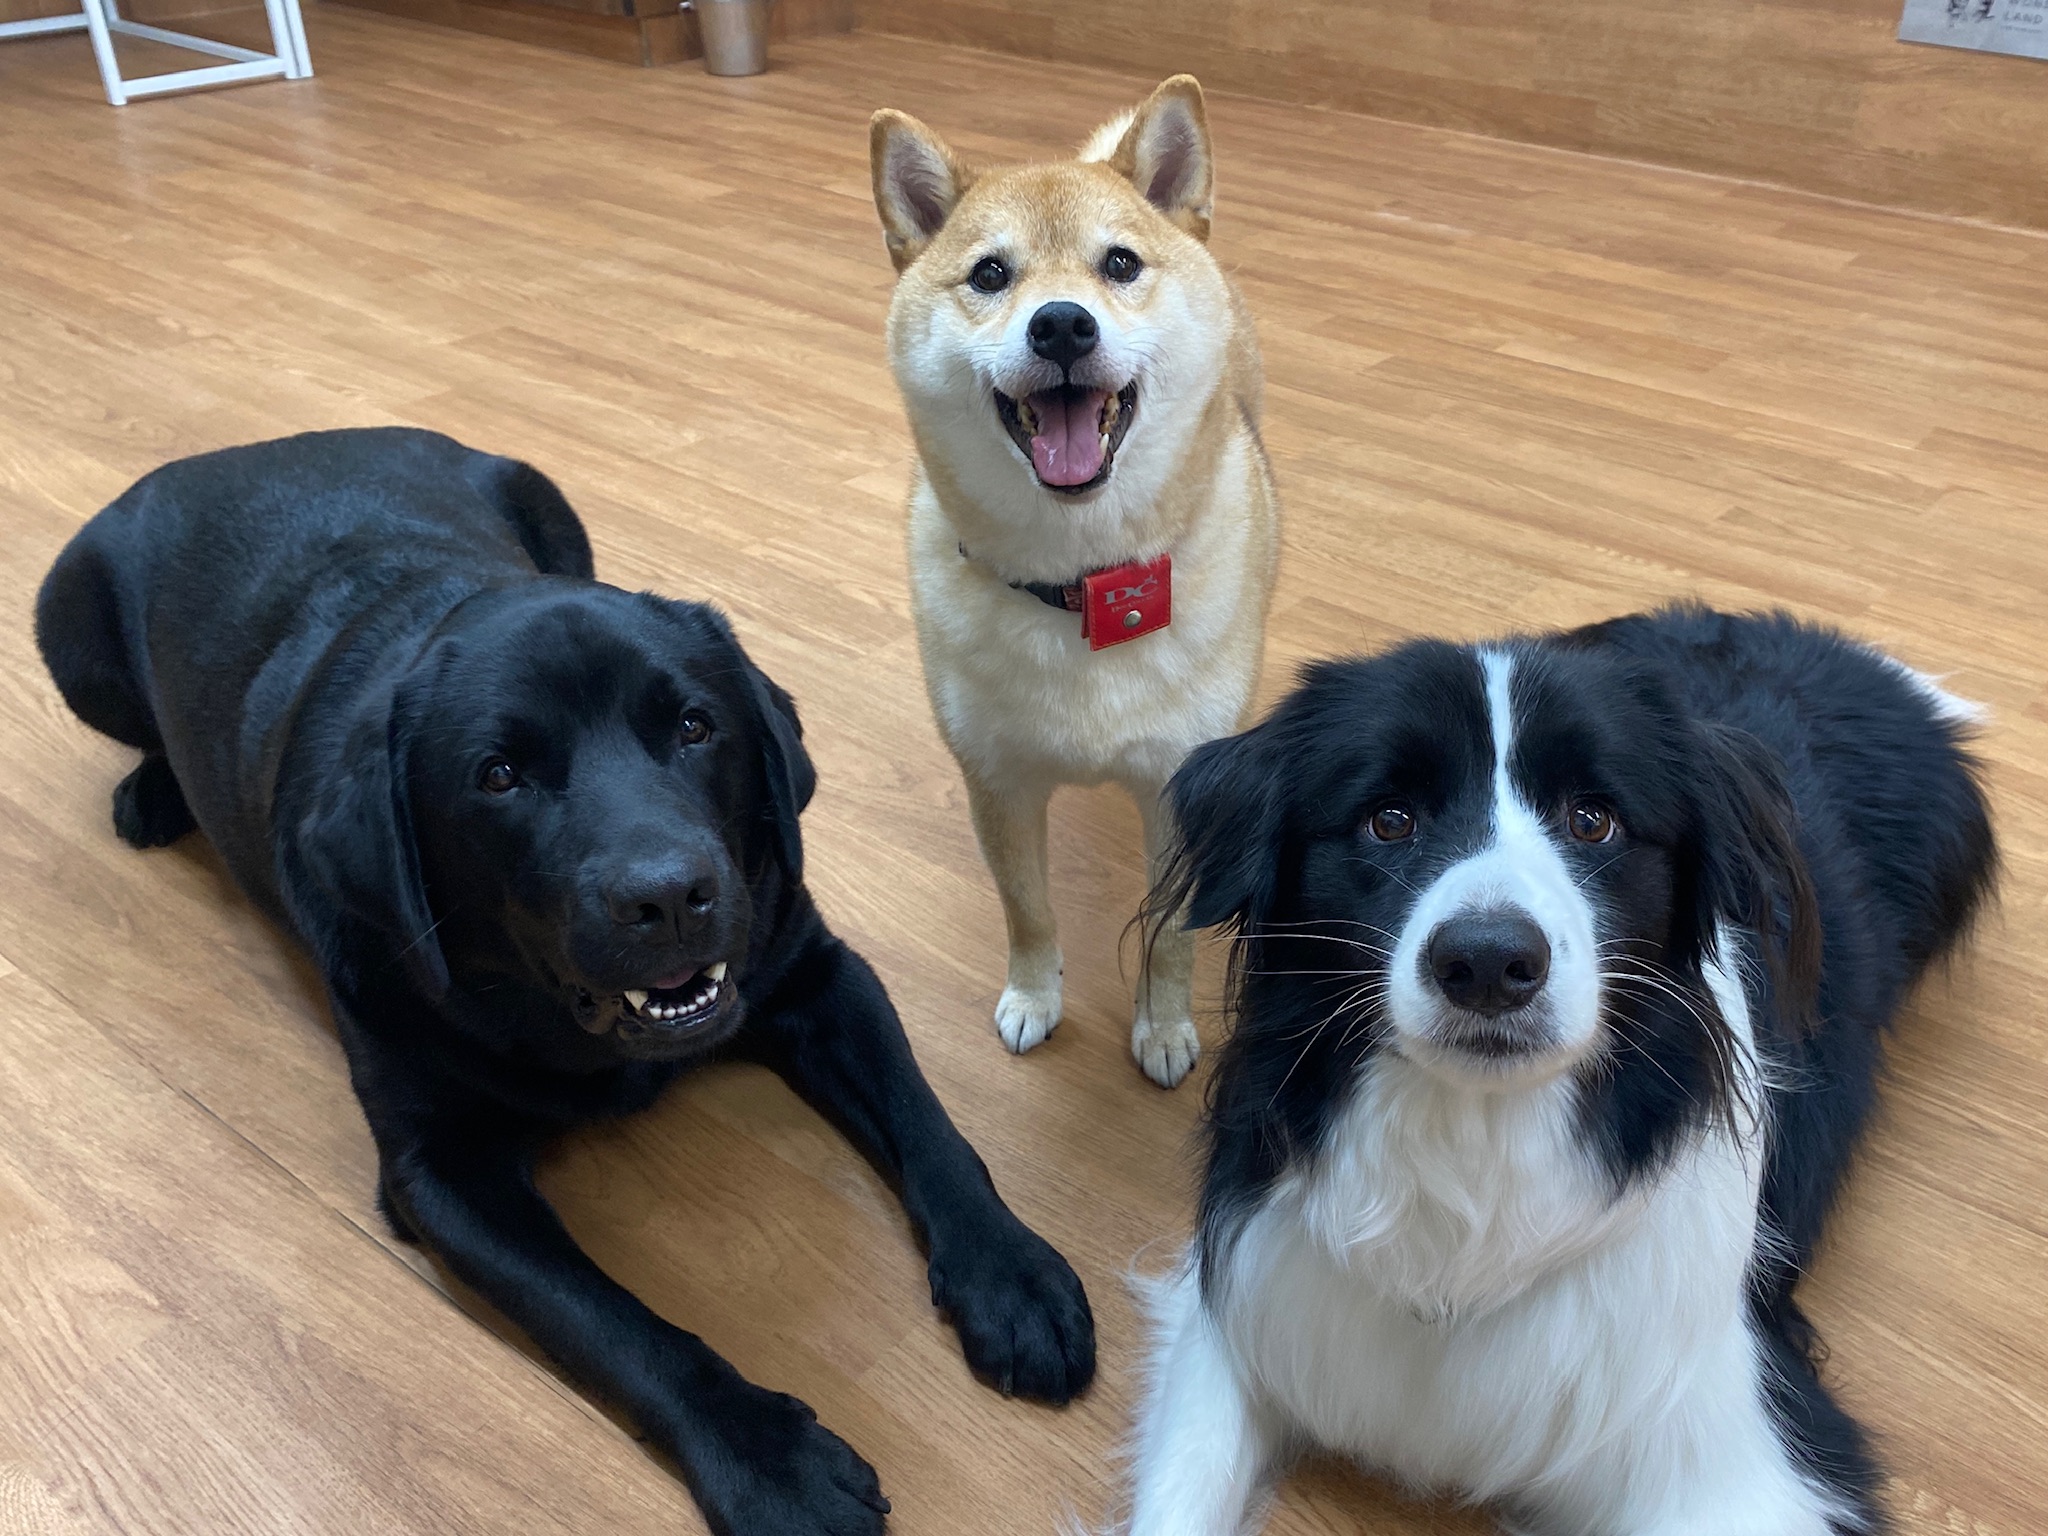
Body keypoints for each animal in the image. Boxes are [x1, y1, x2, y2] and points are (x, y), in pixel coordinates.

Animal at [35, 427, 1095, 1536]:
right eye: (498, 776)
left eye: (694, 727)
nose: (669, 895)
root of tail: (248, 447)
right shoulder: (441, 1170)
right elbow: (614, 1324)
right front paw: (769, 1460)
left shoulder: (816, 974)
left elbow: (933, 1130)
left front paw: (1011, 1274)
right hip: (66, 623)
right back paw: (153, 792)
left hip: (551, 506)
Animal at [869, 75, 1281, 1088]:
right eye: (989, 276)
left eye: (1120, 263)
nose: (1060, 322)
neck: (1086, 583)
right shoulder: (997, 783)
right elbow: (1028, 909)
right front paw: (1034, 995)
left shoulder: (1177, 789)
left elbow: (1170, 933)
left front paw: (1165, 1025)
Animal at [1122, 606, 1995, 1535]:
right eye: (1388, 820)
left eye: (1593, 820)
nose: (1487, 963)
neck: (1474, 1136)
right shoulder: (1245, 1312)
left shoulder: (1747, 1451)